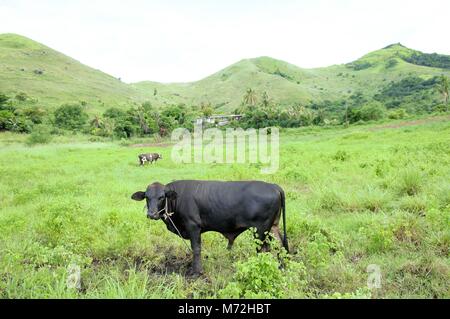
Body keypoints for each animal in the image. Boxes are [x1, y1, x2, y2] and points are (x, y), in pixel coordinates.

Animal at [130, 181, 288, 276]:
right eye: (147, 197)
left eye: (162, 197)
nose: (152, 214)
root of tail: (274, 186)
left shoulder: (193, 226)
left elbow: (196, 249)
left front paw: (196, 271)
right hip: (273, 227)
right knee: (281, 245)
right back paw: (281, 266)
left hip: (260, 230)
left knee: (264, 249)